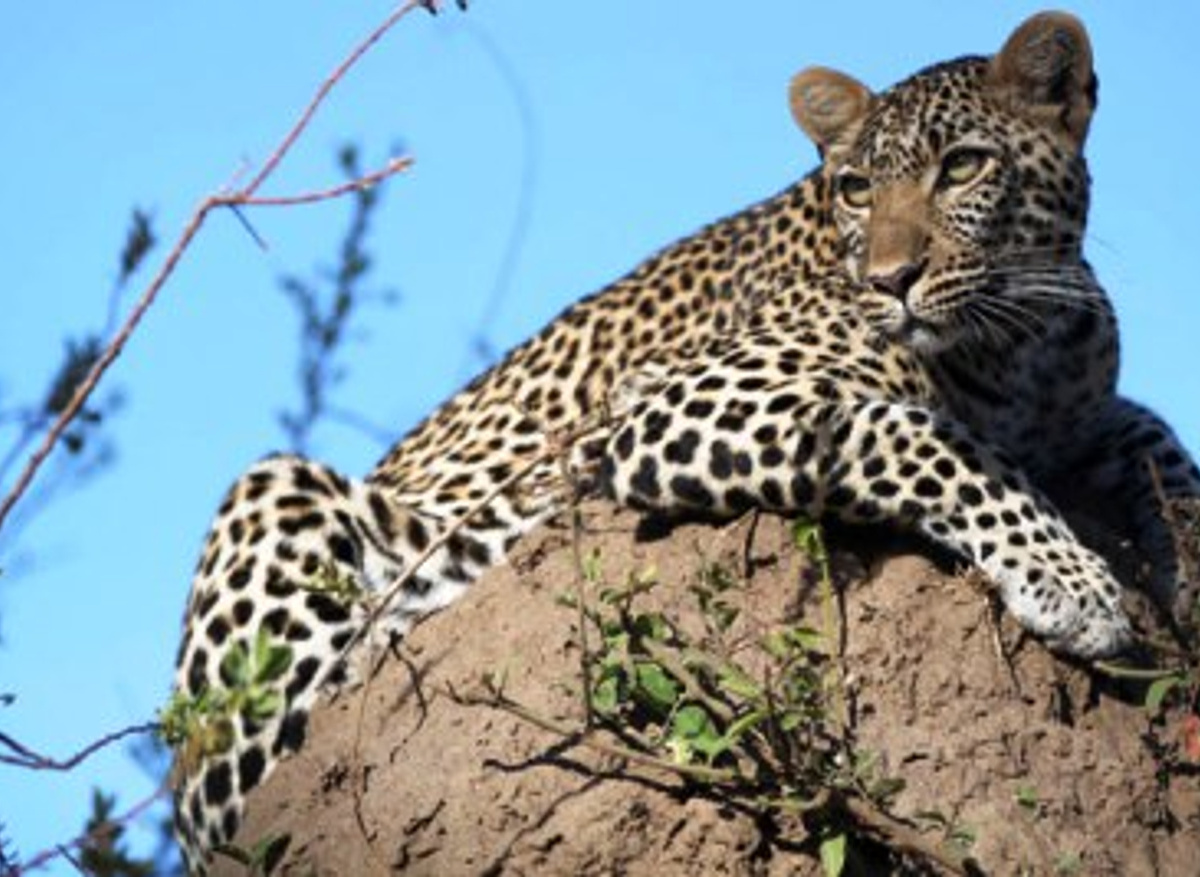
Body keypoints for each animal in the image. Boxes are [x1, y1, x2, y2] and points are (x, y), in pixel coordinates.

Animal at [170, 11, 1199, 873]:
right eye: (856, 188)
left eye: (963, 167)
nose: (890, 281)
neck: (1024, 339)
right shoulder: (669, 404)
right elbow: (930, 438)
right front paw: (1069, 580)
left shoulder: (1089, 410)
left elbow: (1165, 453)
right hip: (275, 515)